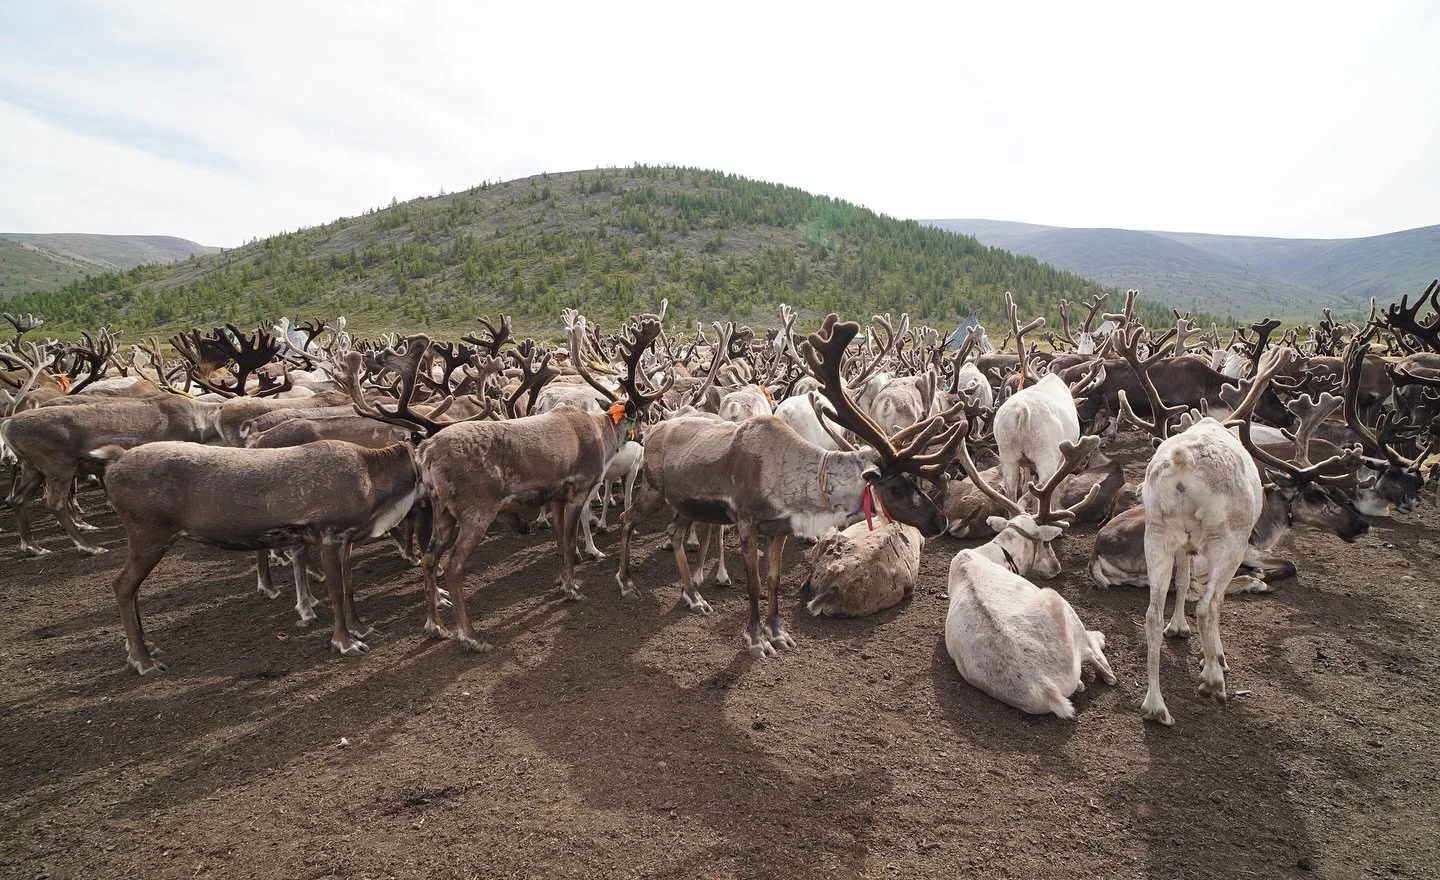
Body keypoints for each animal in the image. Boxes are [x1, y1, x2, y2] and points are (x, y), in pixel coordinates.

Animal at [614, 314, 964, 659]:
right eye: (897, 488)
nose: (939, 520)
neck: (791, 477)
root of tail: (654, 428)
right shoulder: (747, 523)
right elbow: (754, 584)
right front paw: (756, 639)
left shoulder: (779, 528)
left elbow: (773, 579)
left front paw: (778, 632)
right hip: (653, 490)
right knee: (627, 518)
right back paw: (626, 583)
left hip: (684, 503)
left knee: (674, 533)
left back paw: (693, 596)